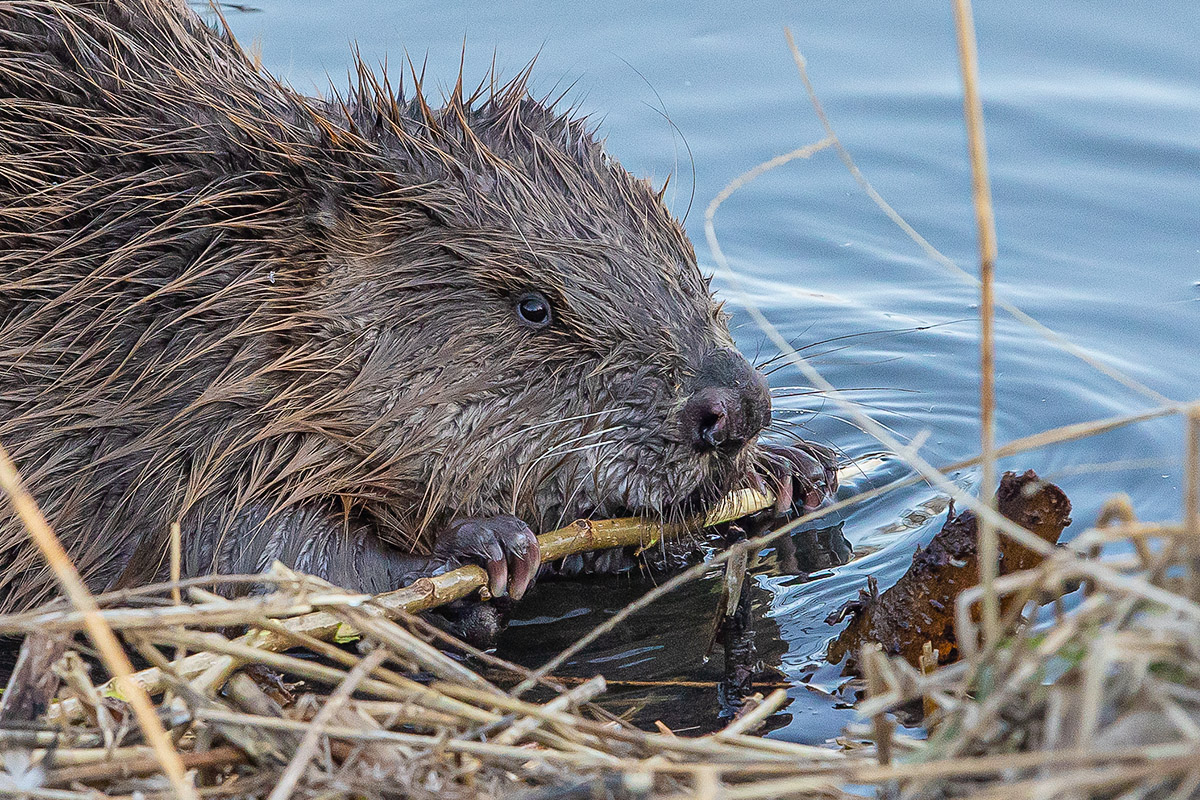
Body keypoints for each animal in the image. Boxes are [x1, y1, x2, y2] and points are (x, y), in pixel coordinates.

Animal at [0, 0, 835, 618]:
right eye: (534, 307)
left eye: (683, 254)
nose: (736, 407)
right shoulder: (129, 405)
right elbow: (212, 551)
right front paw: (478, 546)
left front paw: (796, 467)